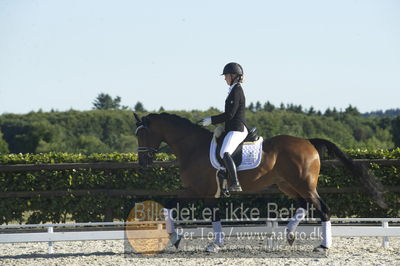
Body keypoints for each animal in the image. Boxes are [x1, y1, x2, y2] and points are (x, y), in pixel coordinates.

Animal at [134, 111, 388, 251]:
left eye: (142, 133)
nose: (142, 163)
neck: (193, 147)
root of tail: (308, 141)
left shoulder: (198, 190)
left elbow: (170, 206)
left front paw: (177, 238)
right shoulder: (207, 193)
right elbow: (210, 217)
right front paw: (213, 243)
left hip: (303, 184)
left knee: (322, 208)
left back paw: (323, 245)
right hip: (287, 184)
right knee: (304, 205)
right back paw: (290, 234)